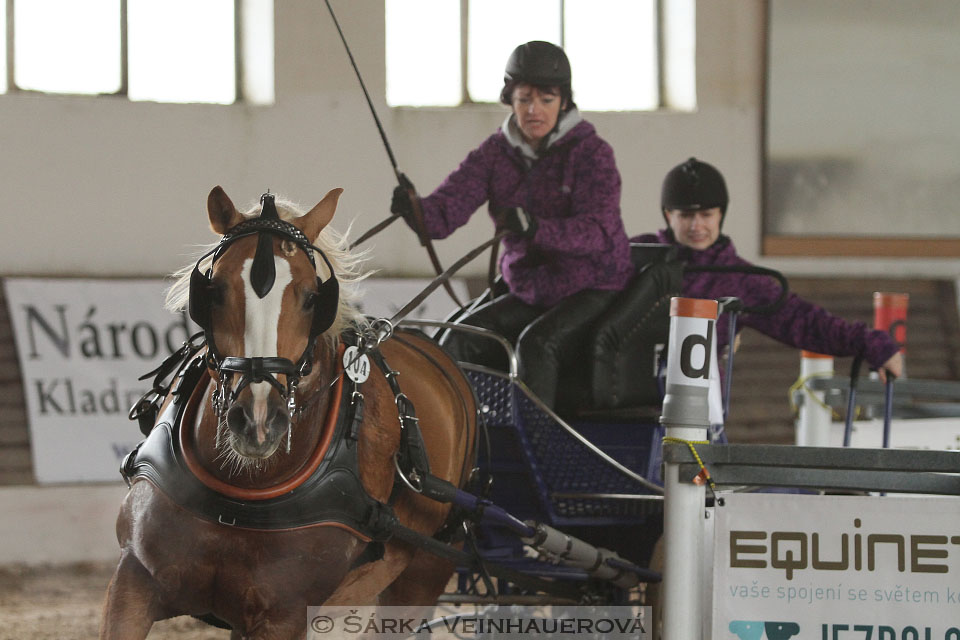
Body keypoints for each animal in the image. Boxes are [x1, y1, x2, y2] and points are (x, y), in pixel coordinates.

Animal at [100, 188, 476, 636]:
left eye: (313, 297)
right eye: (214, 290)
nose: (258, 421)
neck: (243, 491)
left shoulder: (283, 616)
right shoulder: (133, 581)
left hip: (423, 576)